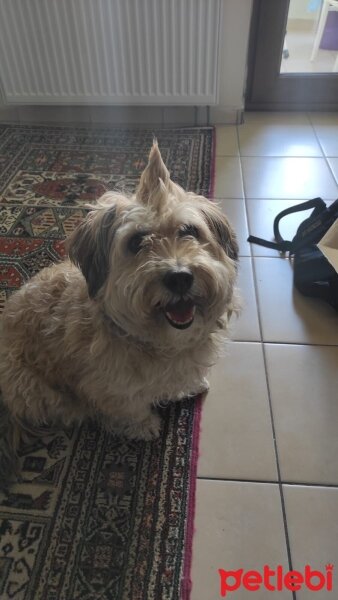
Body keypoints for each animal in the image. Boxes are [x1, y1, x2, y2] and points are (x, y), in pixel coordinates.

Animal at [0, 143, 238, 486]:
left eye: (189, 231)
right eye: (137, 241)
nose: (179, 277)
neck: (158, 340)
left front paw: (187, 385)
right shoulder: (110, 385)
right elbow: (128, 407)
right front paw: (143, 425)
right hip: (33, 386)